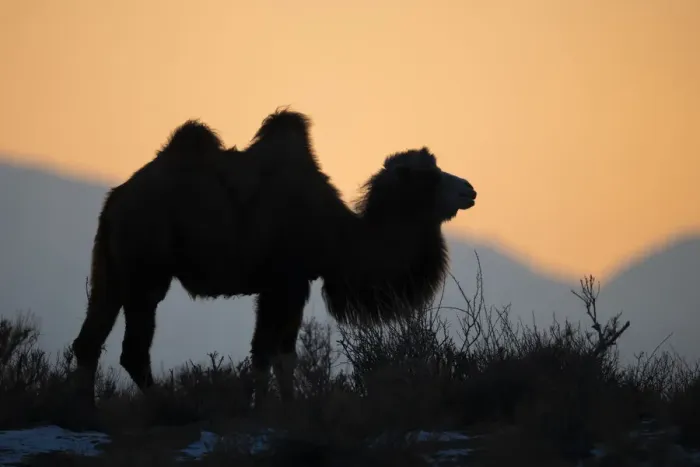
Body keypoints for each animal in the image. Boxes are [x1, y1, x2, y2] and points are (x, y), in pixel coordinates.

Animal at [70, 108, 477, 409]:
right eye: (429, 175)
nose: (469, 189)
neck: (339, 236)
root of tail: (115, 200)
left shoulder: (287, 284)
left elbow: (275, 351)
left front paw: (279, 405)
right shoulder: (287, 281)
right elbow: (273, 352)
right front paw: (271, 409)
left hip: (111, 269)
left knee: (89, 339)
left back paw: (86, 412)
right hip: (146, 270)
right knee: (133, 350)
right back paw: (166, 408)